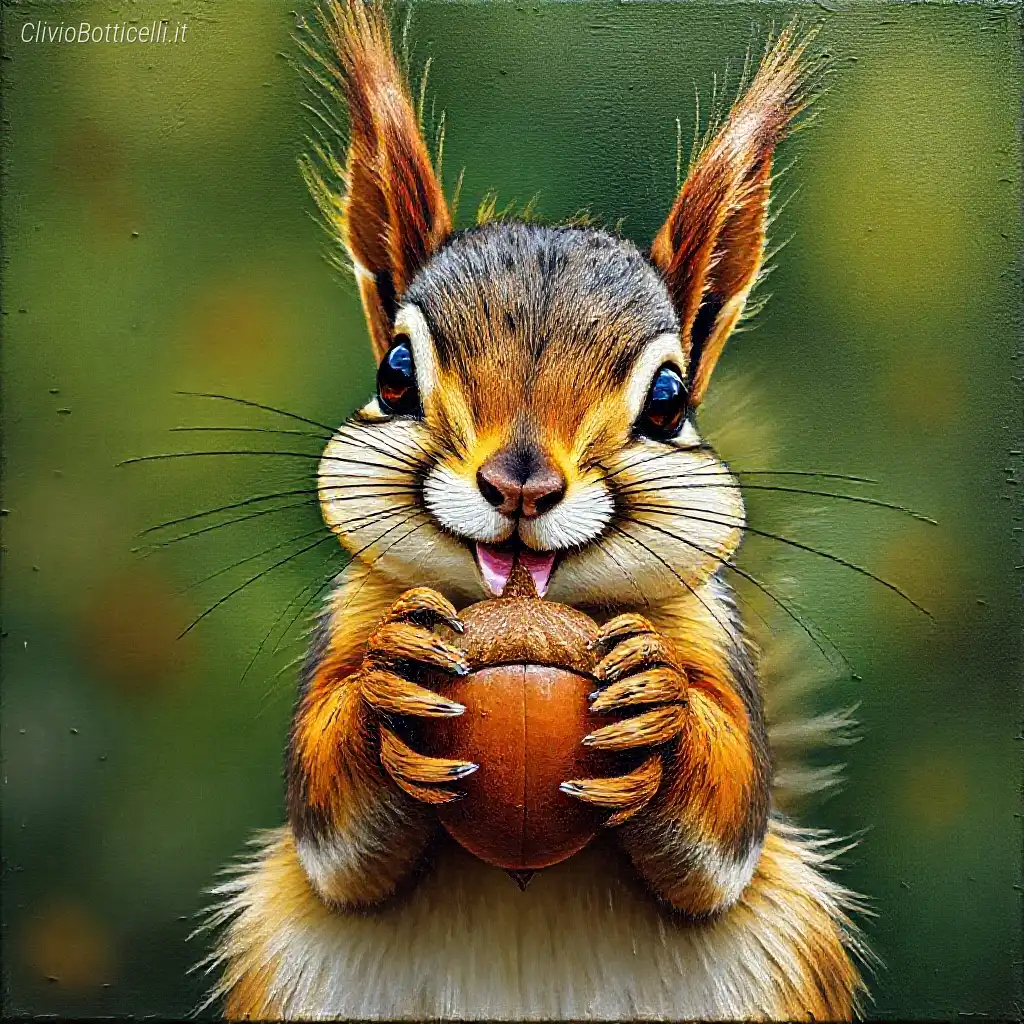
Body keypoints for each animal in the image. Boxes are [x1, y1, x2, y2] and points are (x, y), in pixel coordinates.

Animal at [202, 2, 867, 1019]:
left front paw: (659, 703)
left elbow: (724, 835)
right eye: (395, 374)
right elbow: (332, 827)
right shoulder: (348, 623)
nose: (520, 485)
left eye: (669, 400)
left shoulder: (716, 647)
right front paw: (389, 683)